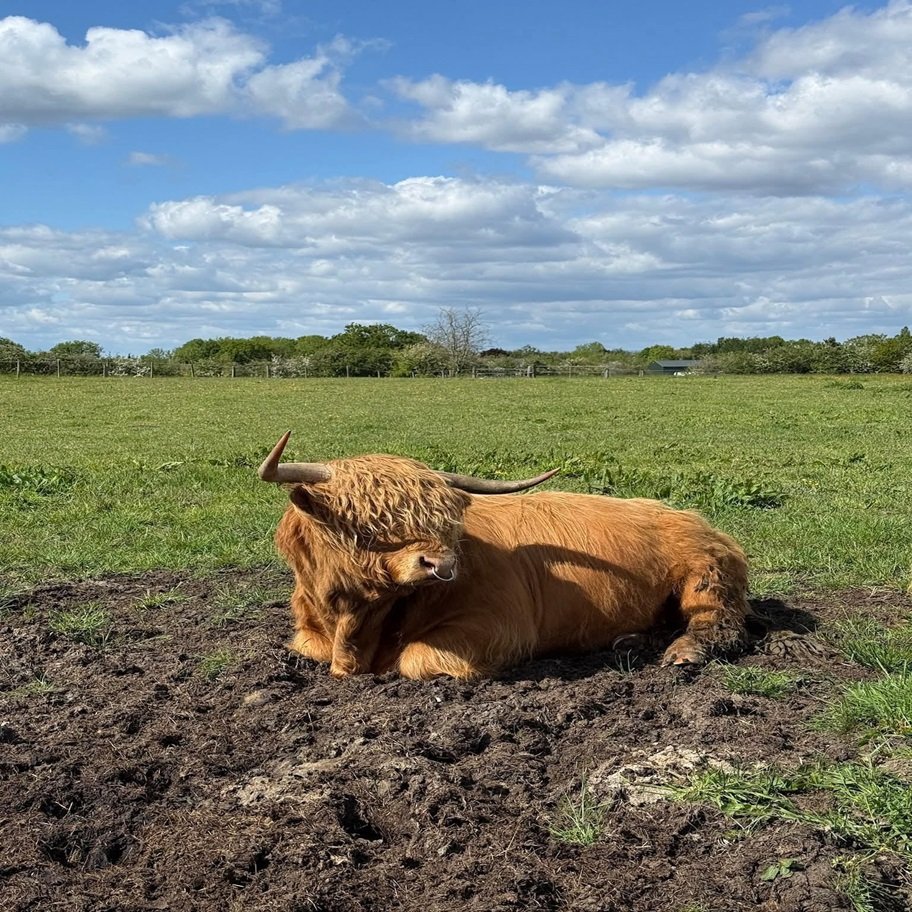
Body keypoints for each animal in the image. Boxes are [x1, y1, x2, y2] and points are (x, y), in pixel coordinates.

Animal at [259, 432, 749, 680]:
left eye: (445, 522)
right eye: (366, 526)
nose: (442, 565)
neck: (357, 621)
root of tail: (697, 519)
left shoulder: (497, 625)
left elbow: (415, 659)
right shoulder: (311, 632)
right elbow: (310, 648)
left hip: (705, 576)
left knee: (717, 623)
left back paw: (682, 652)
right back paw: (629, 641)